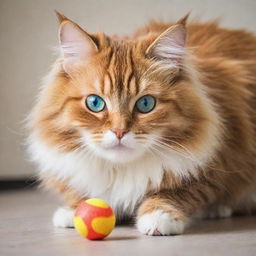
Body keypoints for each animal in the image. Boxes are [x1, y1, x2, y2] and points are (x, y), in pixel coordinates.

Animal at [26, 12, 256, 236]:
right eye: (95, 103)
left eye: (146, 104)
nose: (119, 131)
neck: (120, 170)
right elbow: (78, 191)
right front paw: (73, 211)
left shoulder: (220, 160)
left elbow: (175, 193)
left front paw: (159, 217)